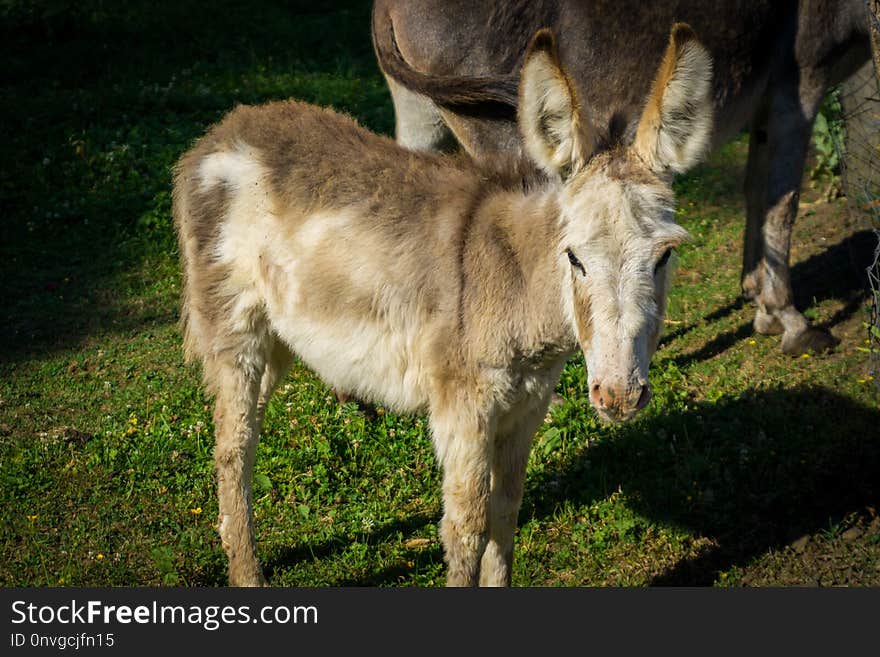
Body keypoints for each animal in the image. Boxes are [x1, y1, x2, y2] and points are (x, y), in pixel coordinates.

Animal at [174, 25, 716, 588]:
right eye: (574, 257)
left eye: (665, 256)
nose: (619, 397)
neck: (516, 282)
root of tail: (224, 129)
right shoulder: (464, 409)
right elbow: (466, 528)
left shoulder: (526, 407)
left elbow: (505, 514)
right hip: (235, 330)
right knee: (233, 447)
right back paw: (247, 574)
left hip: (277, 339)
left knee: (247, 428)